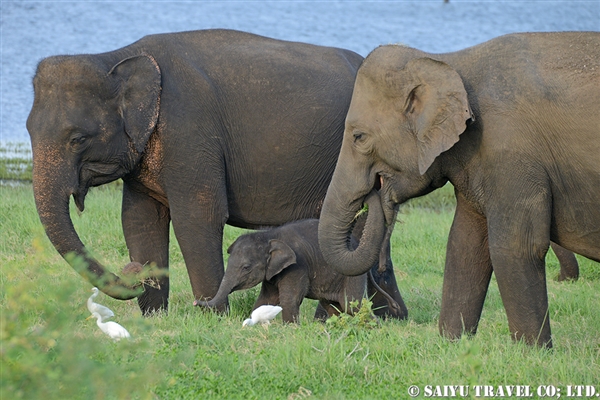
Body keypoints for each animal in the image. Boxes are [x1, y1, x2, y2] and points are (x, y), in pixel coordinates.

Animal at [195, 200, 406, 322]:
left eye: (246, 267)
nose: (196, 302)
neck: (269, 236)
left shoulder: (297, 267)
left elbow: (290, 299)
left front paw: (289, 329)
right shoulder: (273, 273)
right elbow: (266, 299)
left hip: (352, 276)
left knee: (352, 305)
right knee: (333, 306)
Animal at [316, 32, 596, 346]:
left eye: (359, 137)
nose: (375, 194)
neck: (448, 61)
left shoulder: (512, 155)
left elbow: (516, 246)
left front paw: (533, 351)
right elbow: (464, 243)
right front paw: (453, 343)